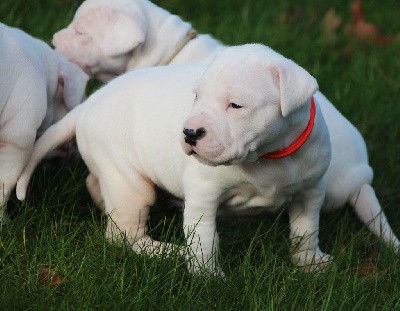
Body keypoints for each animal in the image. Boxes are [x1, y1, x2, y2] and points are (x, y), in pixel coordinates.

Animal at [17, 45, 400, 274]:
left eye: (236, 105)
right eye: (197, 96)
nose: (189, 133)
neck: (267, 157)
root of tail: (87, 106)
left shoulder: (310, 190)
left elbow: (306, 229)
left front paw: (309, 264)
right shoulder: (203, 195)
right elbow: (204, 241)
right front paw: (208, 279)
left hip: (116, 172)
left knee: (99, 187)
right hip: (128, 180)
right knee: (124, 236)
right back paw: (167, 252)